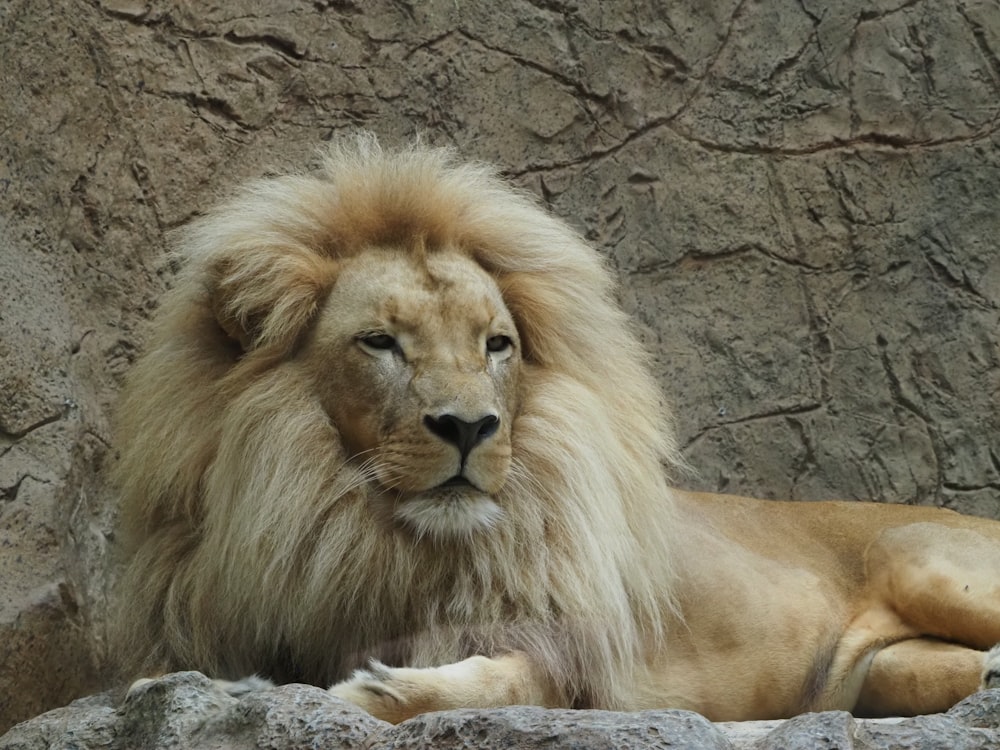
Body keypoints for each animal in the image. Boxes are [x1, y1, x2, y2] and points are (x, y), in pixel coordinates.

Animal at [115, 137, 1000, 728]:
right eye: (381, 342)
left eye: (496, 344)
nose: (469, 427)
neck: (359, 530)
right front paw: (206, 691)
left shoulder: (576, 667)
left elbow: (494, 682)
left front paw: (382, 690)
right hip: (890, 671)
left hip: (923, 561)